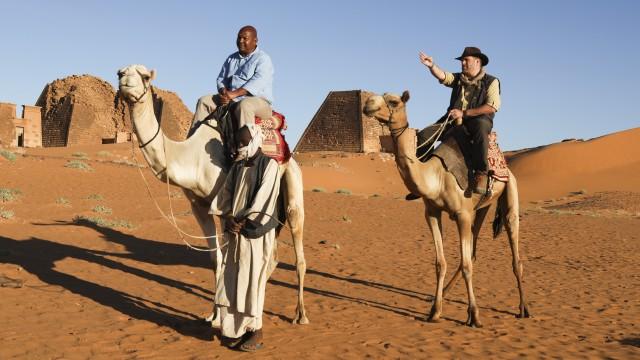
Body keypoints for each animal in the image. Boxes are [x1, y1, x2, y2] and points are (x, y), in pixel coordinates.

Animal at [119, 64, 312, 326]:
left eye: (145, 76)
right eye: (120, 72)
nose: (125, 81)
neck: (191, 158)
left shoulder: (227, 208)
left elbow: (232, 259)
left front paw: (223, 317)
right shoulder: (199, 207)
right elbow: (215, 260)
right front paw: (212, 315)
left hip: (292, 185)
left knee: (297, 247)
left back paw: (300, 315)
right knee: (270, 256)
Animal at [364, 90, 528, 326]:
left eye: (393, 101)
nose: (368, 103)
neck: (437, 177)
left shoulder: (462, 215)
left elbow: (467, 265)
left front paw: (475, 316)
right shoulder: (432, 213)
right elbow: (441, 263)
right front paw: (435, 311)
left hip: (509, 191)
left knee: (514, 251)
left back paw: (523, 308)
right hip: (481, 208)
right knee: (474, 250)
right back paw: (448, 296)